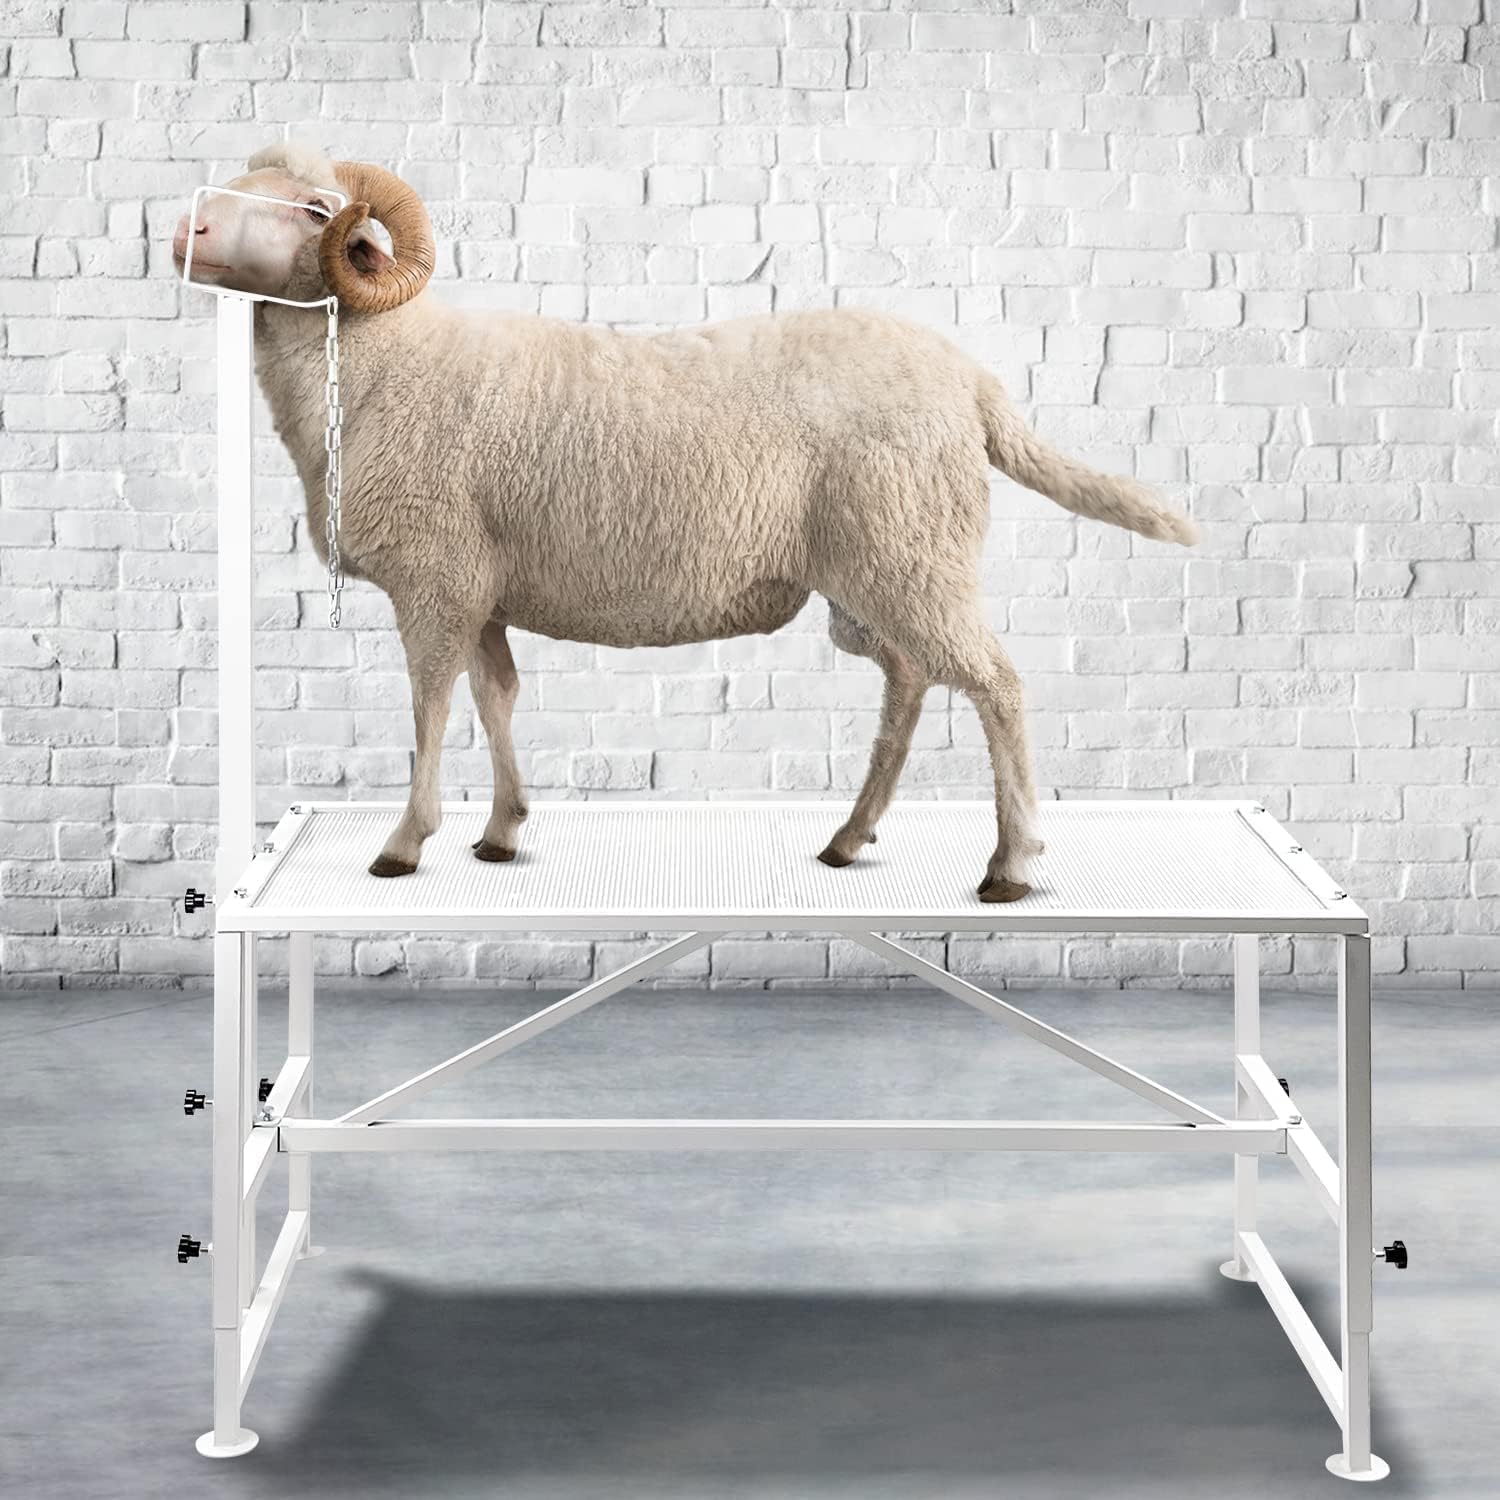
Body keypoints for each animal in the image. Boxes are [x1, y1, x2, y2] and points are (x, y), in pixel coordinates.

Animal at [173, 144, 1198, 902]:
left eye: (316, 210)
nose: (187, 227)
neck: (381, 360)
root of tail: (973, 382)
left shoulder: (436, 579)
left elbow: (430, 710)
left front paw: (403, 843)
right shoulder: (483, 588)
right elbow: (497, 697)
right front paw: (501, 831)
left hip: (913, 553)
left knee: (998, 685)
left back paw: (1011, 864)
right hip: (876, 575)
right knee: (910, 680)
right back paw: (850, 836)